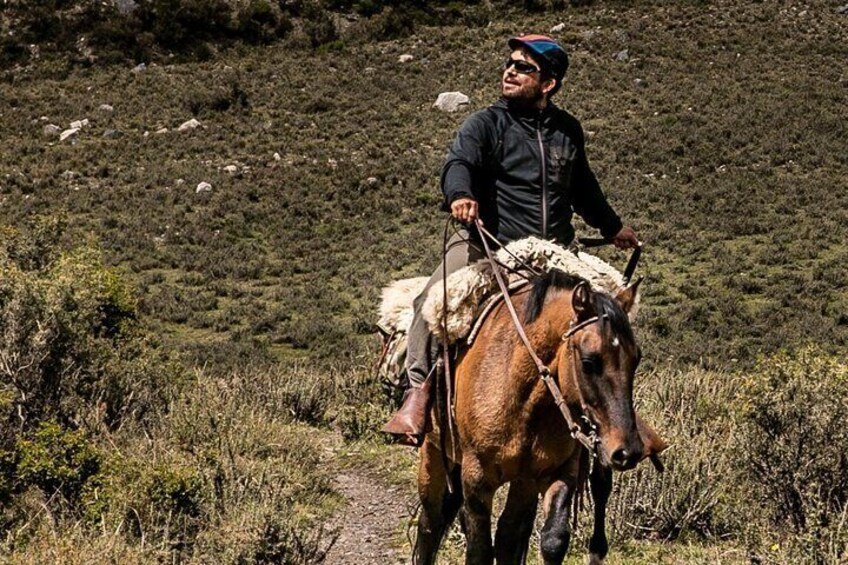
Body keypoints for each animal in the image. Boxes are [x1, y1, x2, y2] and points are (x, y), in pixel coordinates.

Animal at [414, 268, 660, 564]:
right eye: (589, 361)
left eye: (636, 359)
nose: (628, 451)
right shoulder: (476, 480)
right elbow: (479, 551)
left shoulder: (551, 473)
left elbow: (552, 540)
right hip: (434, 457)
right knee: (429, 526)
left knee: (506, 537)